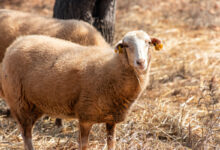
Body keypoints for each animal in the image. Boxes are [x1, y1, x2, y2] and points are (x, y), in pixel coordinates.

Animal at [0, 30, 162, 150]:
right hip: (19, 102)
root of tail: (16, 43)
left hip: (35, 105)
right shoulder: (85, 115)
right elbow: (84, 145)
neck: (112, 68)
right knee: (26, 135)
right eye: (126, 45)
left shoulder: (111, 118)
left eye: (148, 43)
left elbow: (111, 144)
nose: (140, 62)